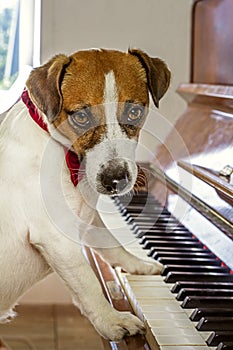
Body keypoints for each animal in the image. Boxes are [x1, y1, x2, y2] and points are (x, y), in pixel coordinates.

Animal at [0, 49, 171, 342]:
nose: (115, 180)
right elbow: (88, 284)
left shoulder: (87, 221)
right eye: (81, 117)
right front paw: (112, 320)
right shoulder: (58, 240)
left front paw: (138, 264)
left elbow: (113, 245)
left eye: (134, 112)